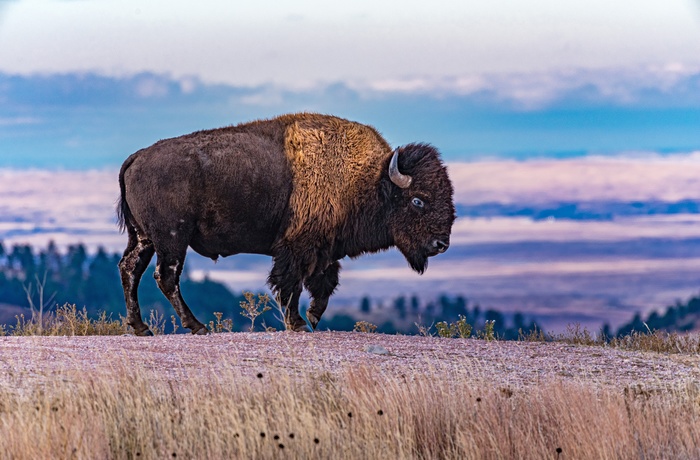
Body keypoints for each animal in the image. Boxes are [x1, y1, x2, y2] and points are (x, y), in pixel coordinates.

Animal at [117, 111, 456, 334]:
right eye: (418, 200)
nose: (441, 243)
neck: (367, 179)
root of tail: (137, 158)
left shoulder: (325, 249)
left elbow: (323, 285)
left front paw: (314, 318)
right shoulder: (298, 248)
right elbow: (291, 284)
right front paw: (299, 324)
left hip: (144, 238)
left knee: (130, 269)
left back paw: (141, 327)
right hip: (172, 238)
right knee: (166, 276)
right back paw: (197, 326)